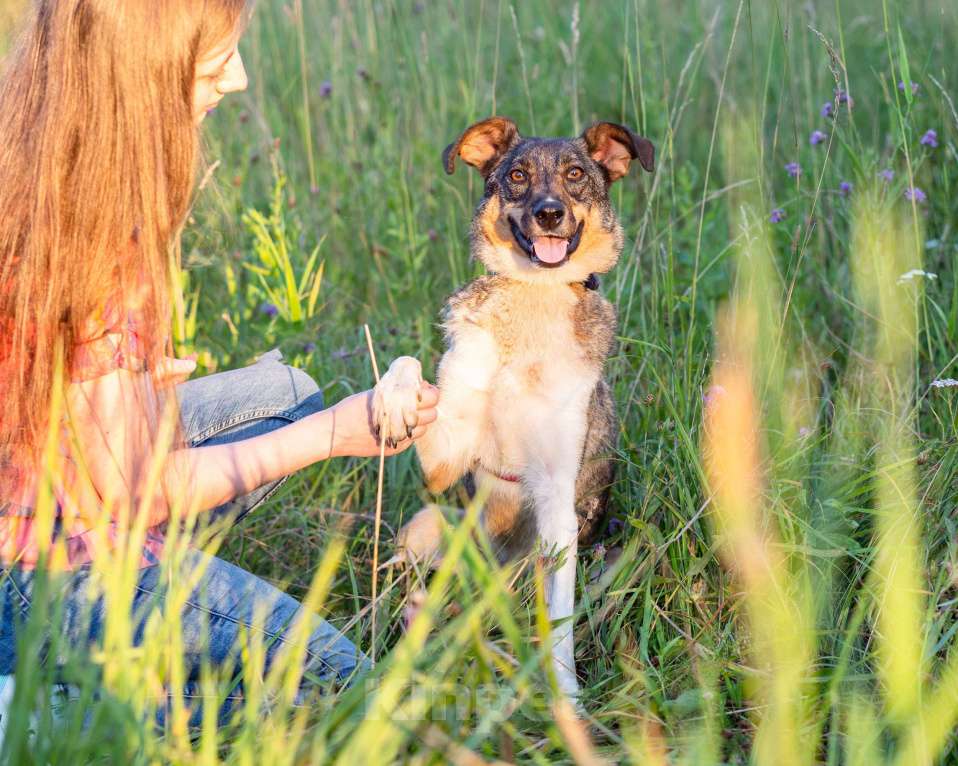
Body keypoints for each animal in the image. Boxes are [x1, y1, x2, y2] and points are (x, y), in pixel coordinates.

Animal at [372, 115, 656, 704]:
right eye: (517, 175)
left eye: (576, 175)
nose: (549, 213)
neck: (534, 299)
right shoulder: (444, 461)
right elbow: (411, 364)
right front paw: (394, 400)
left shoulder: (556, 503)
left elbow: (561, 626)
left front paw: (567, 699)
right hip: (429, 522)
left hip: (624, 551)